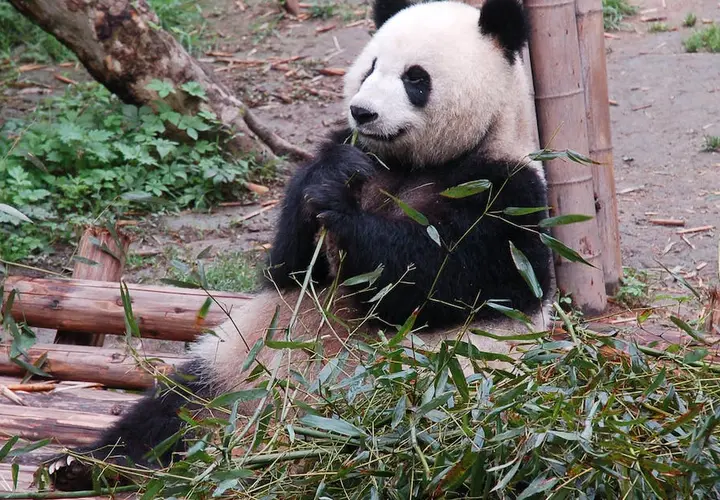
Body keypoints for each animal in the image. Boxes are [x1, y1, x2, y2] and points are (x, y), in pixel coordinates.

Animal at [51, 0, 553, 490]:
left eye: (415, 78)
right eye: (370, 68)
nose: (363, 113)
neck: (414, 164)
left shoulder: (506, 195)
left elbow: (434, 280)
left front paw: (345, 218)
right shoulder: (360, 159)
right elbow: (290, 265)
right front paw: (331, 177)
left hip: (427, 403)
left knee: (387, 440)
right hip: (234, 367)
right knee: (173, 410)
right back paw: (88, 466)